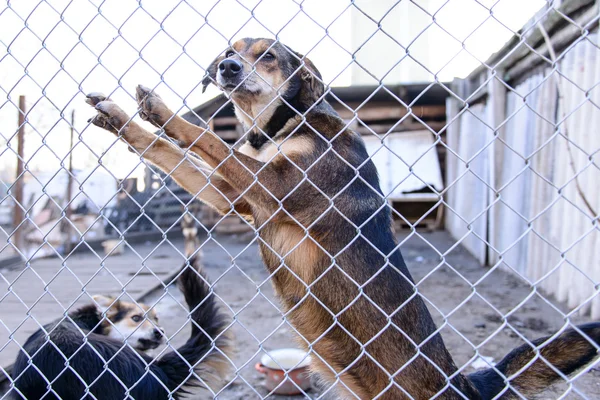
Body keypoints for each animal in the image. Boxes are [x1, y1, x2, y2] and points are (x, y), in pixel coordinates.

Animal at [85, 36, 600, 396]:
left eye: (268, 56)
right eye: (229, 52)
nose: (227, 68)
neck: (281, 125)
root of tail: (463, 381)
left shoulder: (273, 186)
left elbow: (205, 137)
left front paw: (160, 108)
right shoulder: (235, 198)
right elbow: (167, 152)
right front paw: (120, 120)